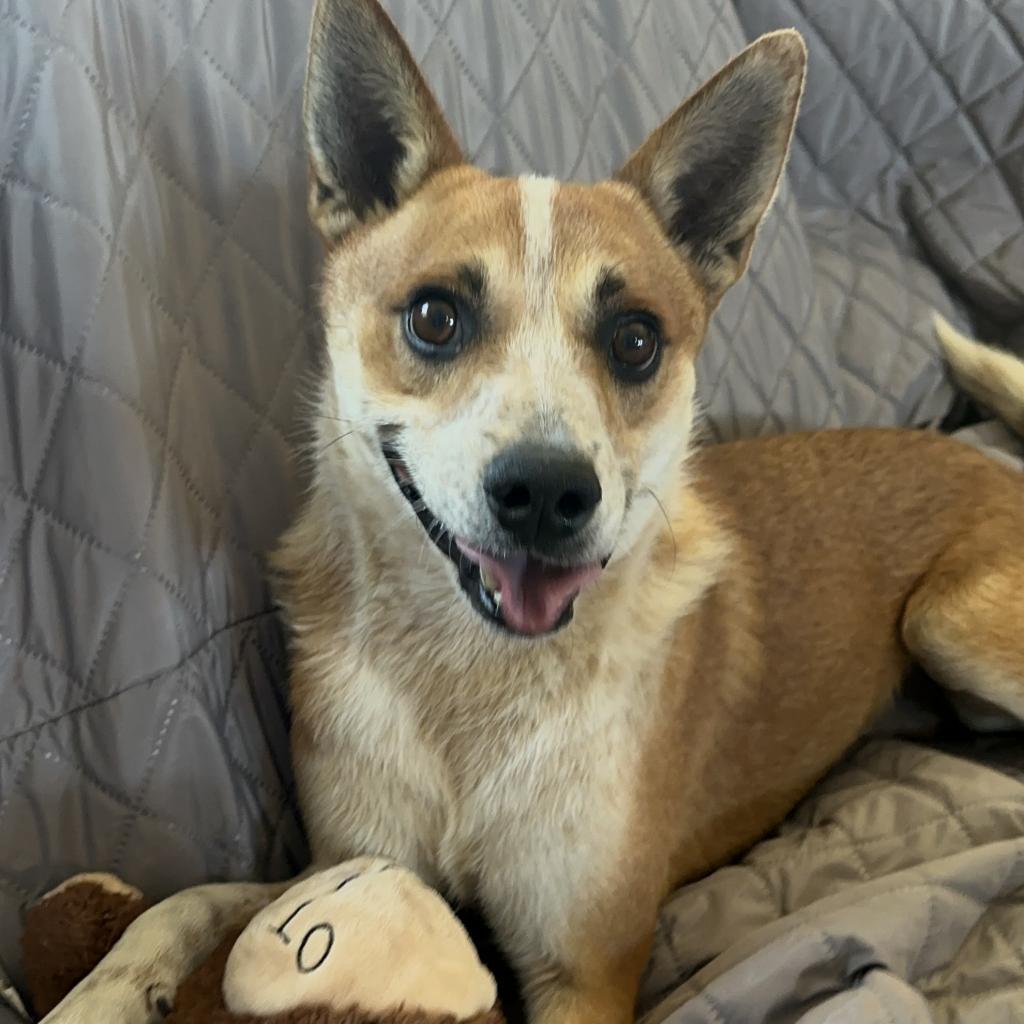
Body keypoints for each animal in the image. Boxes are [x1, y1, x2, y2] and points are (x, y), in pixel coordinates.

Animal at [41, 2, 1024, 1024]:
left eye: (635, 340)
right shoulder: (340, 864)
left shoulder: (582, 967)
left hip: (948, 621)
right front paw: (103, 988)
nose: (548, 493)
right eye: (435, 317)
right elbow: (186, 902)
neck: (469, 678)